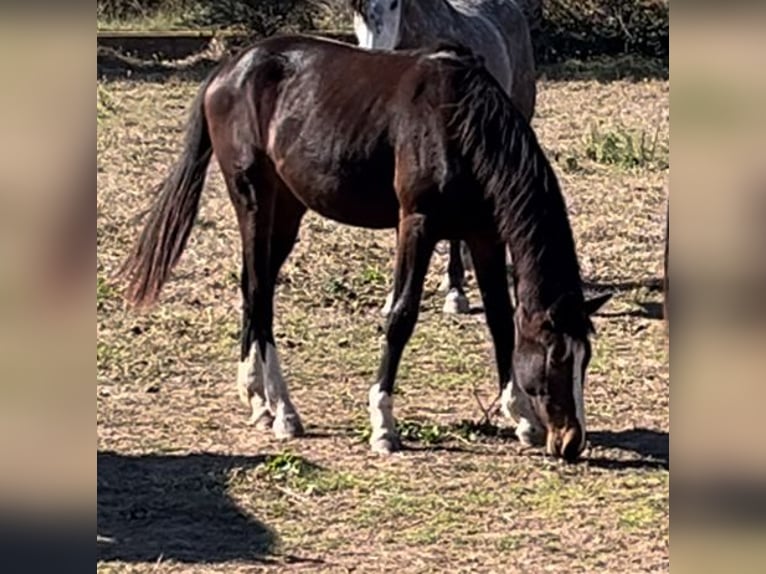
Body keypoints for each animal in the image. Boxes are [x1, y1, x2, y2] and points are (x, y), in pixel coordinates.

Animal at [120, 35, 612, 464]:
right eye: (556, 356)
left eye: (585, 357)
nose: (572, 441)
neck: (457, 121)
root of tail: (229, 69)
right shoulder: (416, 226)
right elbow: (401, 316)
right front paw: (382, 424)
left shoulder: (485, 235)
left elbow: (500, 320)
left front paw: (521, 418)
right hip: (253, 200)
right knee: (259, 291)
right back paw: (283, 411)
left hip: (288, 209)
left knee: (253, 288)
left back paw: (258, 400)